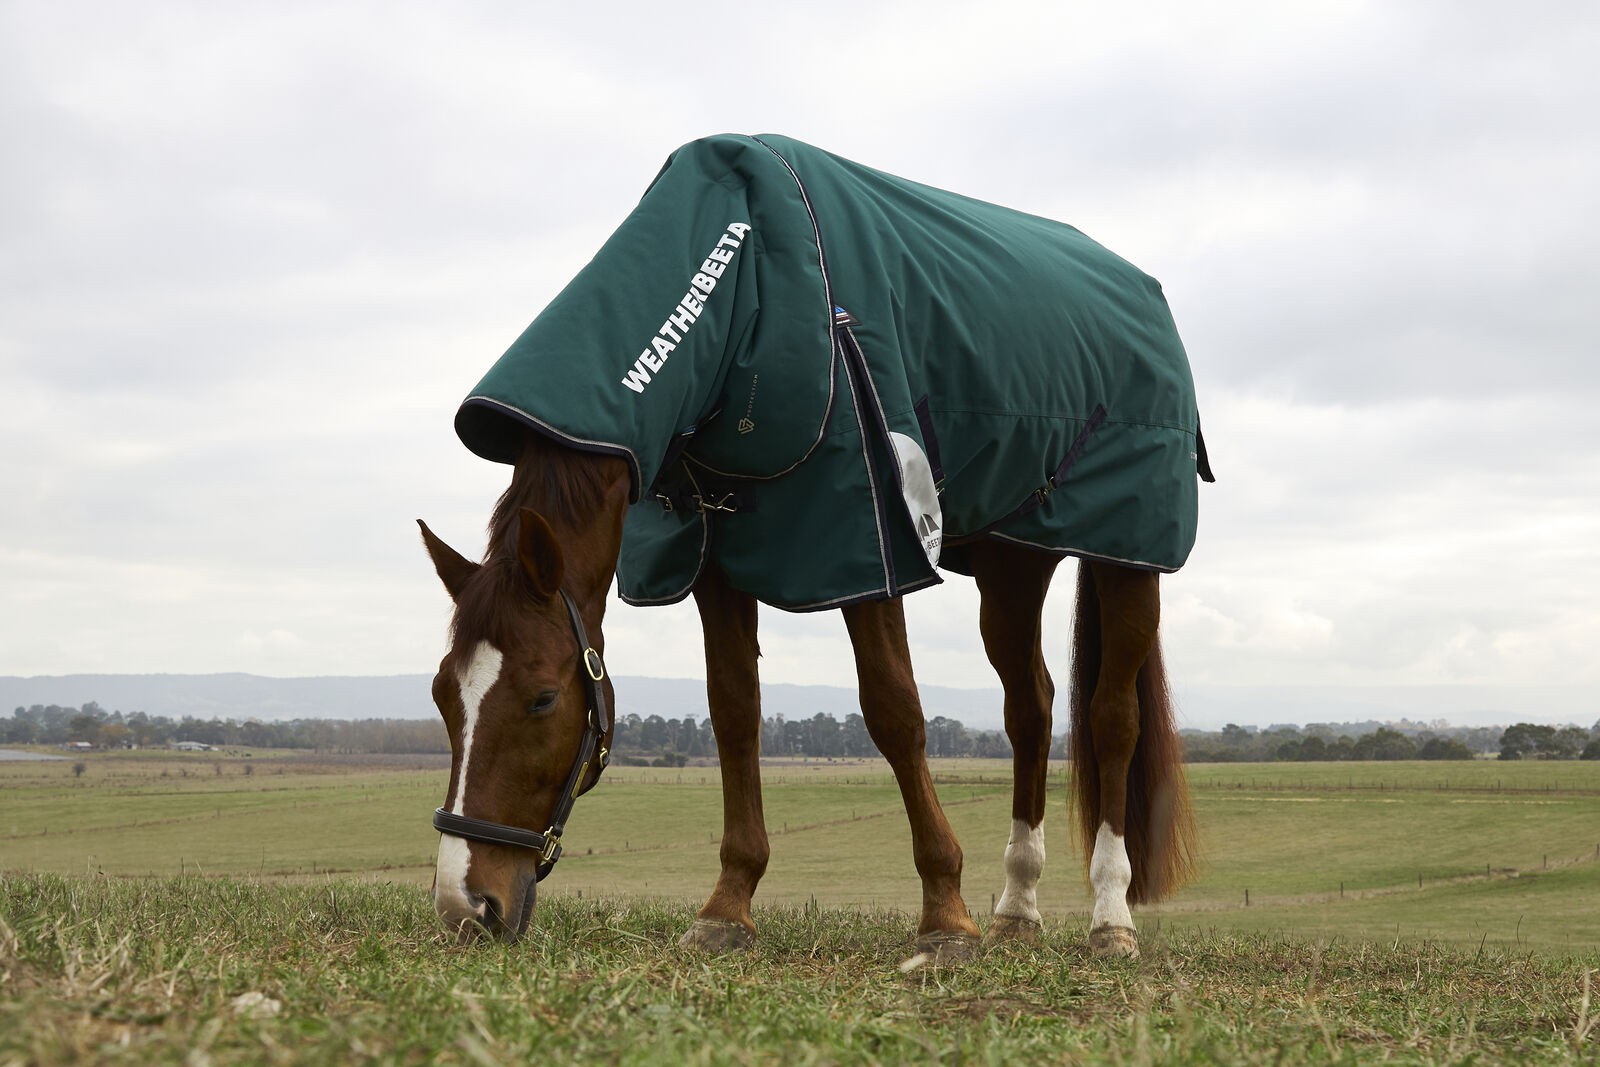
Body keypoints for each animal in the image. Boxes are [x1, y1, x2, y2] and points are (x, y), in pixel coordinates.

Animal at [420, 134, 1206, 960]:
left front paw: (944, 915)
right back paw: (1017, 907)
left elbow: (895, 711)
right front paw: (728, 904)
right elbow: (735, 711)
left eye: (542, 697)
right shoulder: (711, 557)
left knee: (1112, 718)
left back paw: (1110, 917)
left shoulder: (865, 544)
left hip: (1128, 555)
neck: (745, 286)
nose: (464, 905)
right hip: (1012, 564)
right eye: (442, 692)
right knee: (1032, 709)